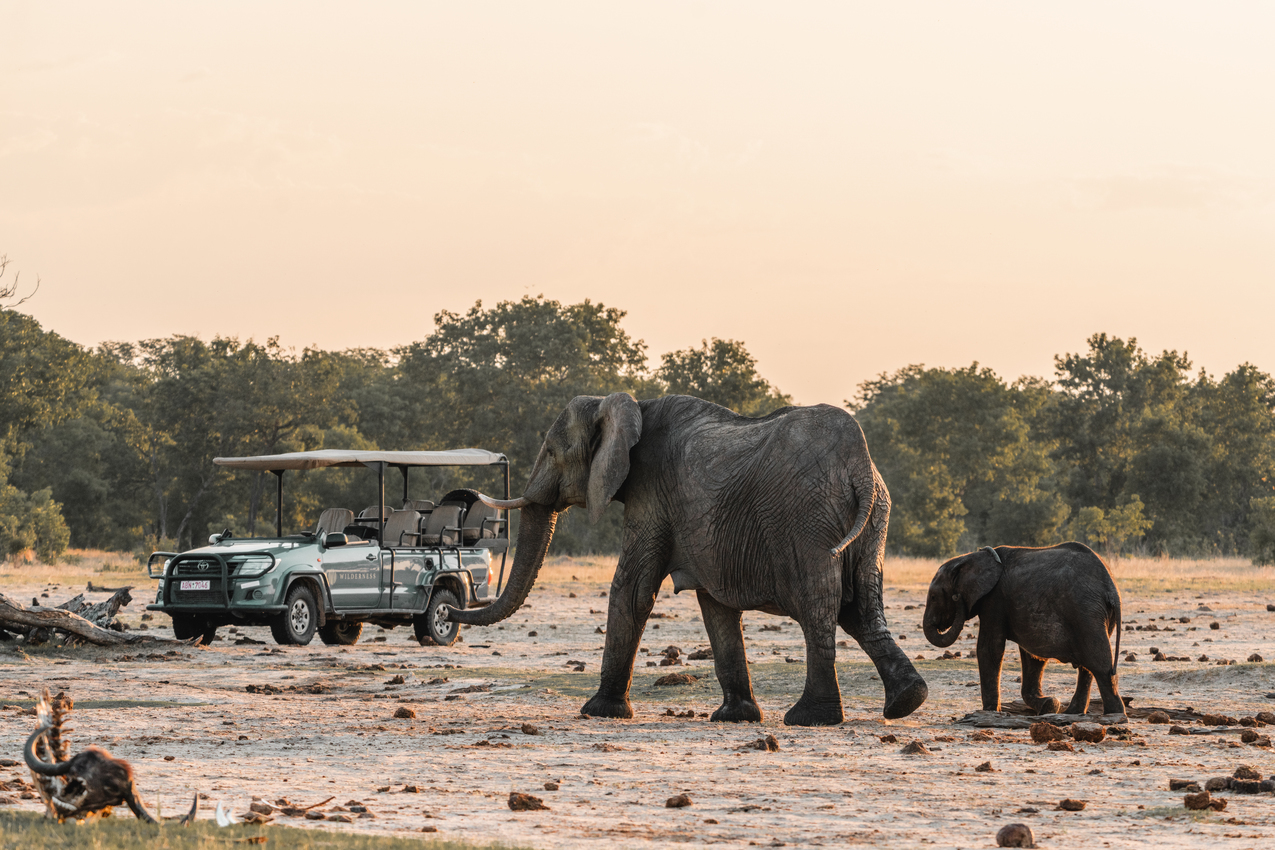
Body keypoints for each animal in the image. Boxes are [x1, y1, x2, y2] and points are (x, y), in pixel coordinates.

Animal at [448, 393, 928, 726]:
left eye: (551, 451)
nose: (451, 608)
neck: (623, 403)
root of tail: (859, 464)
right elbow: (714, 605)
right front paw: (734, 718)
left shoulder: (650, 494)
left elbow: (632, 589)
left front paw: (598, 712)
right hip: (873, 519)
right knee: (861, 607)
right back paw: (906, 703)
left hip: (809, 519)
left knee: (820, 608)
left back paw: (809, 719)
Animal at [922, 542, 1125, 719]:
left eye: (933, 597)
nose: (957, 598)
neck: (971, 557)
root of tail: (1112, 589)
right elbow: (1033, 658)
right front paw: (1049, 705)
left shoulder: (994, 600)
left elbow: (989, 649)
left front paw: (990, 711)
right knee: (1088, 668)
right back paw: (1072, 713)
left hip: (1085, 612)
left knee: (1099, 664)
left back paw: (1115, 715)